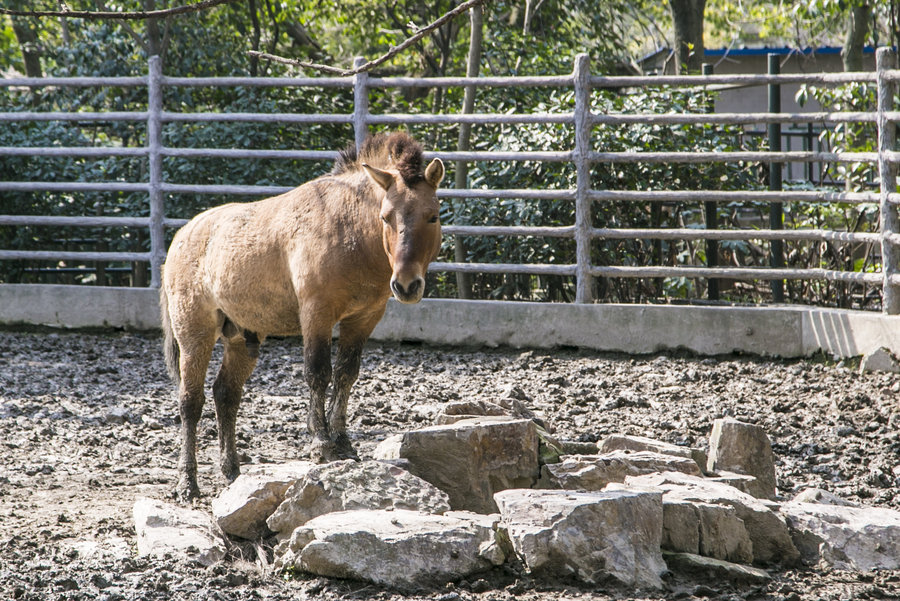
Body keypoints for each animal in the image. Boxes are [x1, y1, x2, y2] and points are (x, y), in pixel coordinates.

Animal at [163, 132, 446, 502]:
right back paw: (188, 483)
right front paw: (322, 443)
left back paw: (232, 471)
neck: (351, 230)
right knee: (190, 402)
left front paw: (343, 442)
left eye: (433, 216)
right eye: (386, 217)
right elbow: (318, 373)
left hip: (241, 338)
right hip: (195, 333)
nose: (407, 285)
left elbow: (346, 374)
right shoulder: (317, 313)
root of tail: (181, 237)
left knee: (226, 394)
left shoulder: (363, 319)